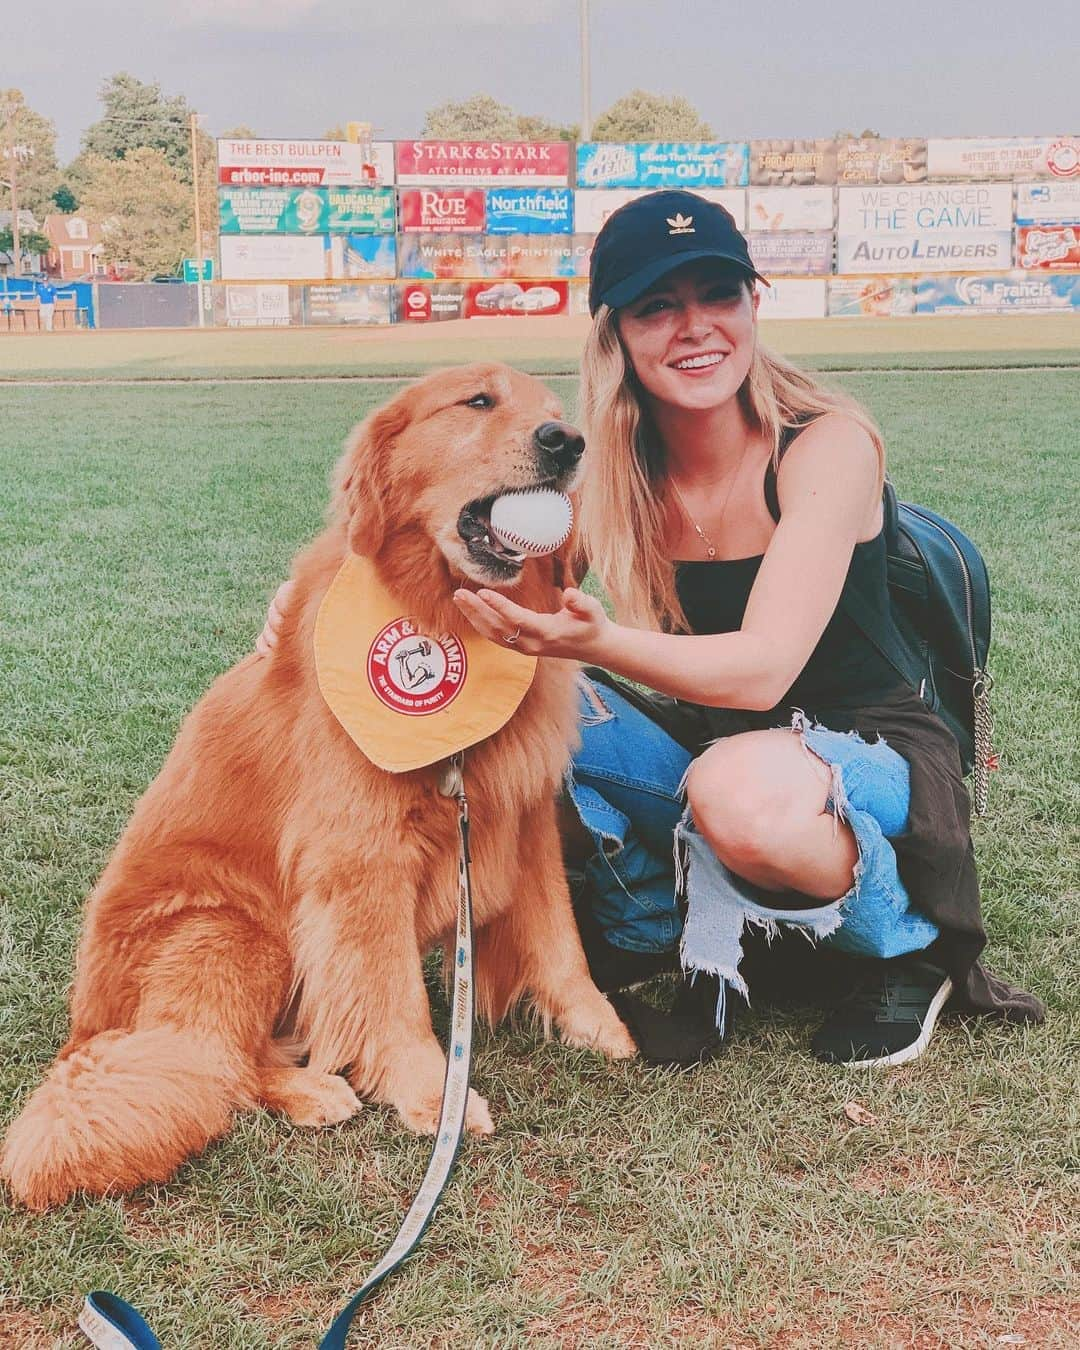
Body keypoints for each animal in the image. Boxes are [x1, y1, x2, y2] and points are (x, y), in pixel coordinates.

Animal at [2, 361, 631, 1215]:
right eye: (478, 400)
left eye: (557, 409)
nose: (566, 443)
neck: (441, 615)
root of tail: (85, 1030)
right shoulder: (362, 856)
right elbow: (391, 992)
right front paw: (431, 1092)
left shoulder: (521, 813)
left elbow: (560, 940)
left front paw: (597, 1024)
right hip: (229, 932)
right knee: (215, 1063)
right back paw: (308, 1090)